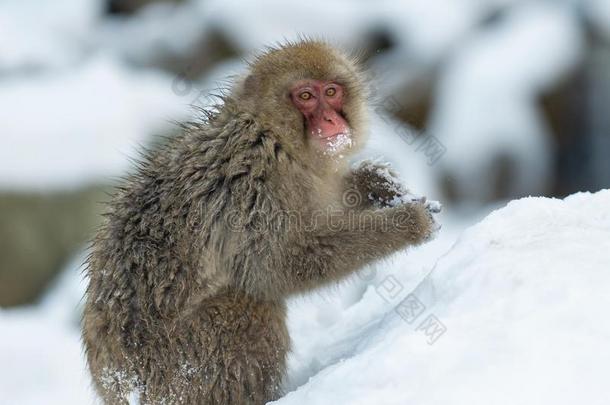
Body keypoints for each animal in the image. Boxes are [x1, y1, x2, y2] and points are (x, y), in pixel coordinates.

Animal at [83, 39, 440, 402]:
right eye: (305, 96)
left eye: (331, 91)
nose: (330, 119)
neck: (272, 136)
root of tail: (114, 385)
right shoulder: (252, 191)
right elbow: (276, 267)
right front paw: (406, 223)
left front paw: (377, 182)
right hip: (183, 365)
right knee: (251, 304)